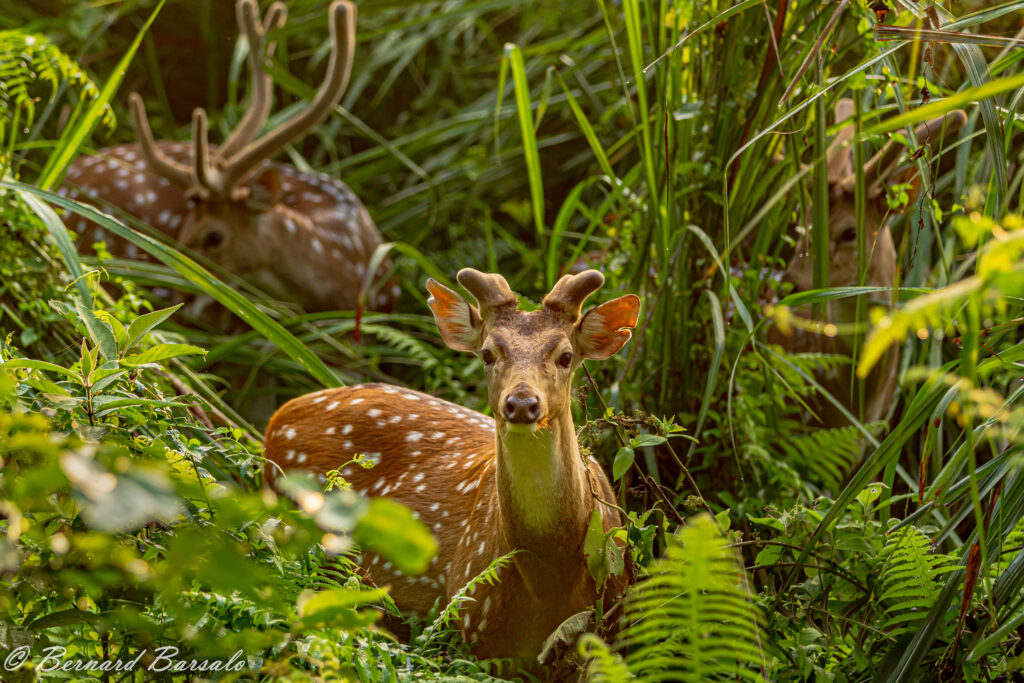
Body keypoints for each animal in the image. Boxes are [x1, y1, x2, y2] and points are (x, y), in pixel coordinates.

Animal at [263, 268, 639, 662]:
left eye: (565, 356)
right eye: (488, 353)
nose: (522, 403)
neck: (551, 578)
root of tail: (278, 417)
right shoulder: (472, 626)